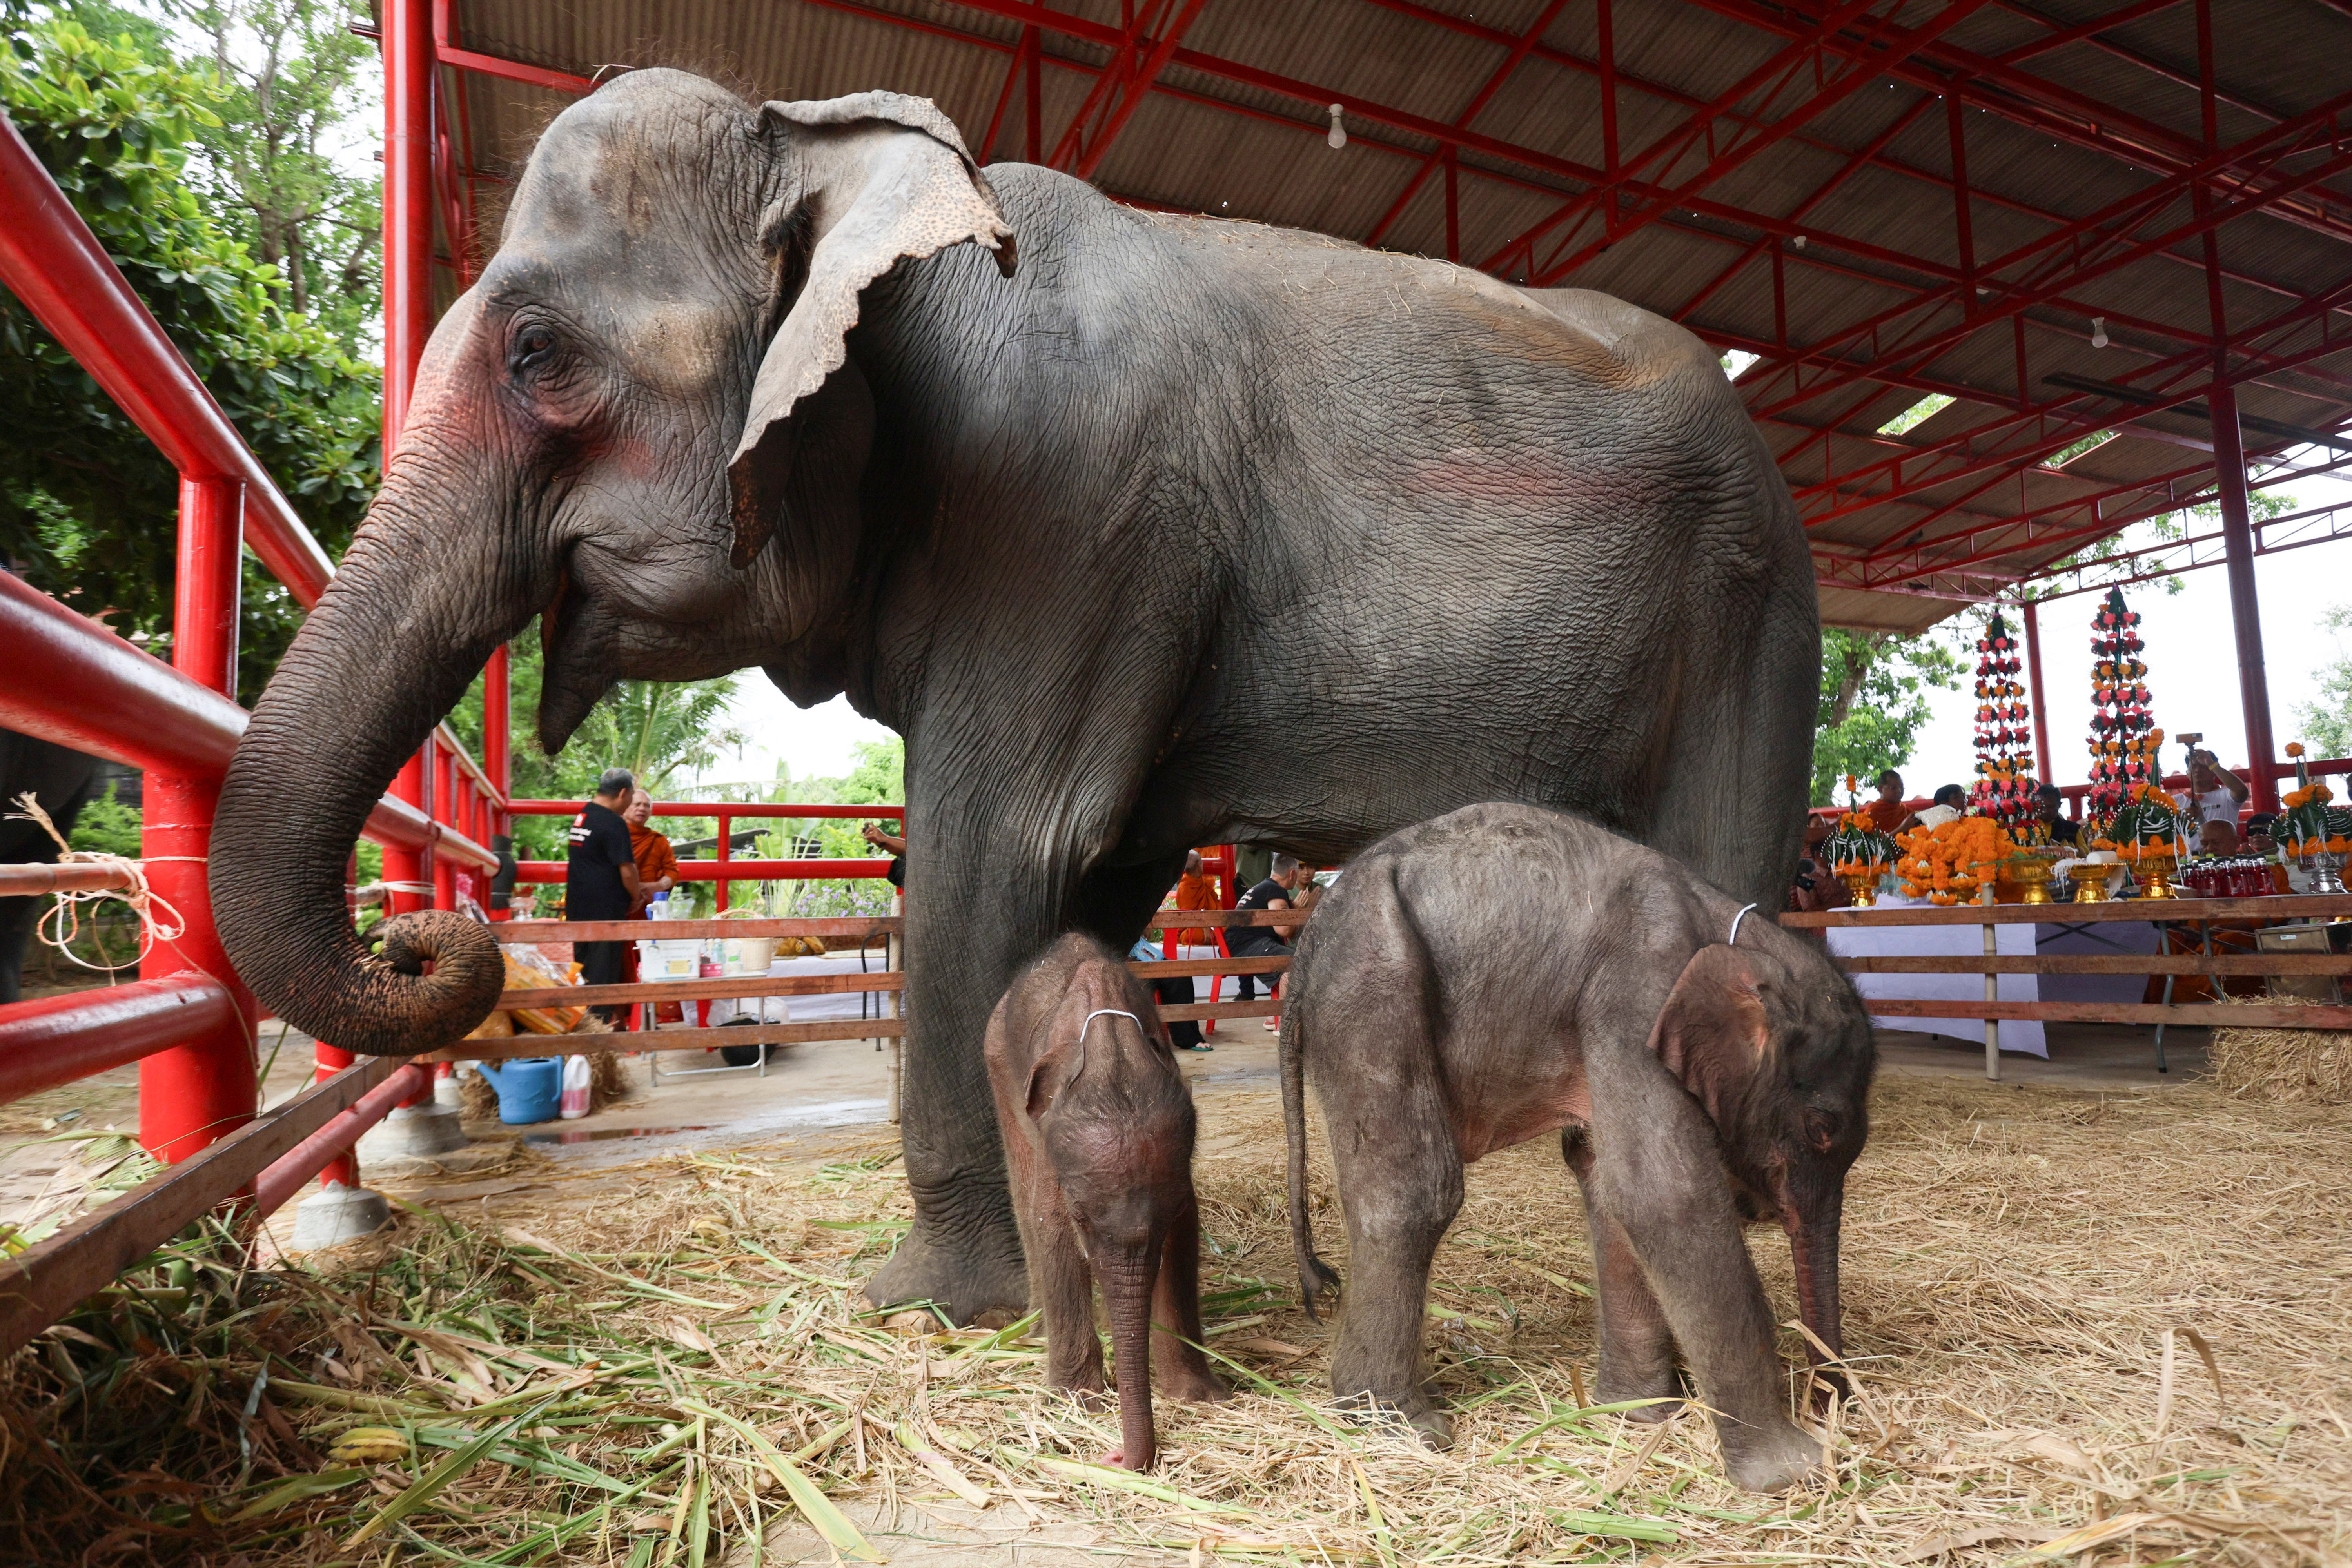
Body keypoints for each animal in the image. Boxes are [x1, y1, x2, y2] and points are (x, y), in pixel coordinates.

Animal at [207, 73, 1816, 1326]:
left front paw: (928, 1304)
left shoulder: (1065, 514)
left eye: (540, 356)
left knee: (1723, 872)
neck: (840, 157)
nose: (431, 931)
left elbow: (1000, 850)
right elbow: (1083, 890)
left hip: (1751, 601)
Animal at [983, 931, 1232, 1476]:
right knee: (1023, 1196)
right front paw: (1077, 1401)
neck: (1110, 1043)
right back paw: (1037, 1330)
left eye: (1170, 1210)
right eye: (1082, 1216)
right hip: (997, 1065)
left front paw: (1203, 1398)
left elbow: (1186, 1237)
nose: (1115, 1456)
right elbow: (1049, 1222)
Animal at [1289, 808, 1872, 1495]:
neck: (1734, 930)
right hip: (1373, 986)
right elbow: (1664, 1194)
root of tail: (1313, 931)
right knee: (1414, 1193)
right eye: (1822, 1127)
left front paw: (1639, 1416)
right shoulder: (1636, 992)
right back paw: (1401, 1430)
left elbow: (1606, 1182)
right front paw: (1794, 1474)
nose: (1833, 1405)